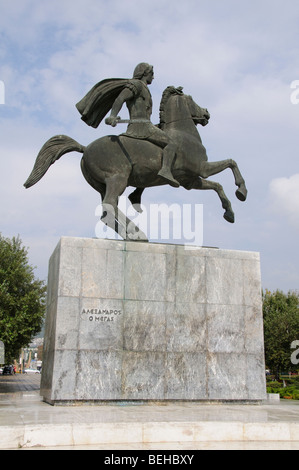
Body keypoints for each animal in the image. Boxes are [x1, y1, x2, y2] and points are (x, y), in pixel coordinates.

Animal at [24, 85, 248, 242]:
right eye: (192, 100)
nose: (206, 113)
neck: (184, 133)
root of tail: (85, 148)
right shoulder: (202, 170)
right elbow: (231, 163)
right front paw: (241, 192)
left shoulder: (191, 181)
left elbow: (218, 186)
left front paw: (229, 213)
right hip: (118, 178)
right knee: (110, 204)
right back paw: (136, 233)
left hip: (103, 185)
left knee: (106, 211)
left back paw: (131, 233)